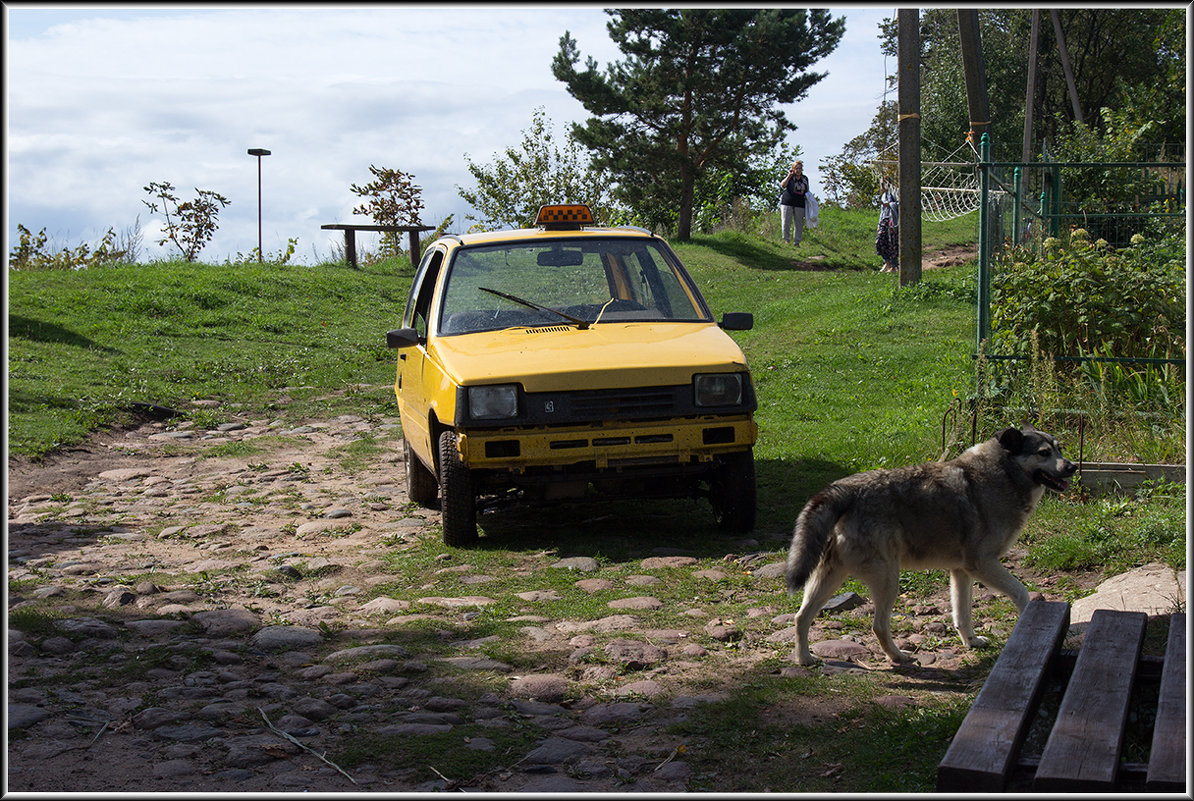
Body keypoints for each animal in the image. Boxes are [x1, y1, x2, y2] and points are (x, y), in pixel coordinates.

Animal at [788, 424, 1079, 663]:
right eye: (1043, 453)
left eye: (1060, 448)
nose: (1073, 466)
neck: (1004, 473)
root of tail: (842, 489)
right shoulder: (983, 564)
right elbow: (1022, 593)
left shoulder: (961, 572)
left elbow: (962, 614)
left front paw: (972, 642)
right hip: (887, 580)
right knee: (878, 626)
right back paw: (898, 657)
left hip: (829, 578)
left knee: (801, 617)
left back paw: (805, 659)